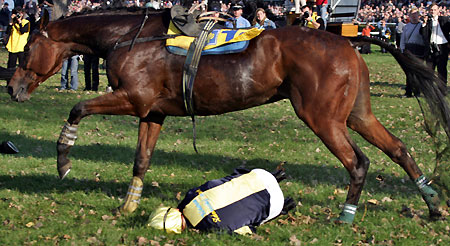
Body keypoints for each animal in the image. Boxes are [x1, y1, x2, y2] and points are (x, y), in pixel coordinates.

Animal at [5, 8, 448, 223]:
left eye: (27, 48)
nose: (12, 88)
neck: (131, 37)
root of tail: (349, 43)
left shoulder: (132, 98)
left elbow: (77, 108)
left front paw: (64, 159)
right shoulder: (152, 111)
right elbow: (141, 160)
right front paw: (128, 207)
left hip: (322, 119)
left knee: (358, 163)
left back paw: (346, 215)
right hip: (356, 115)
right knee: (399, 150)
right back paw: (432, 204)